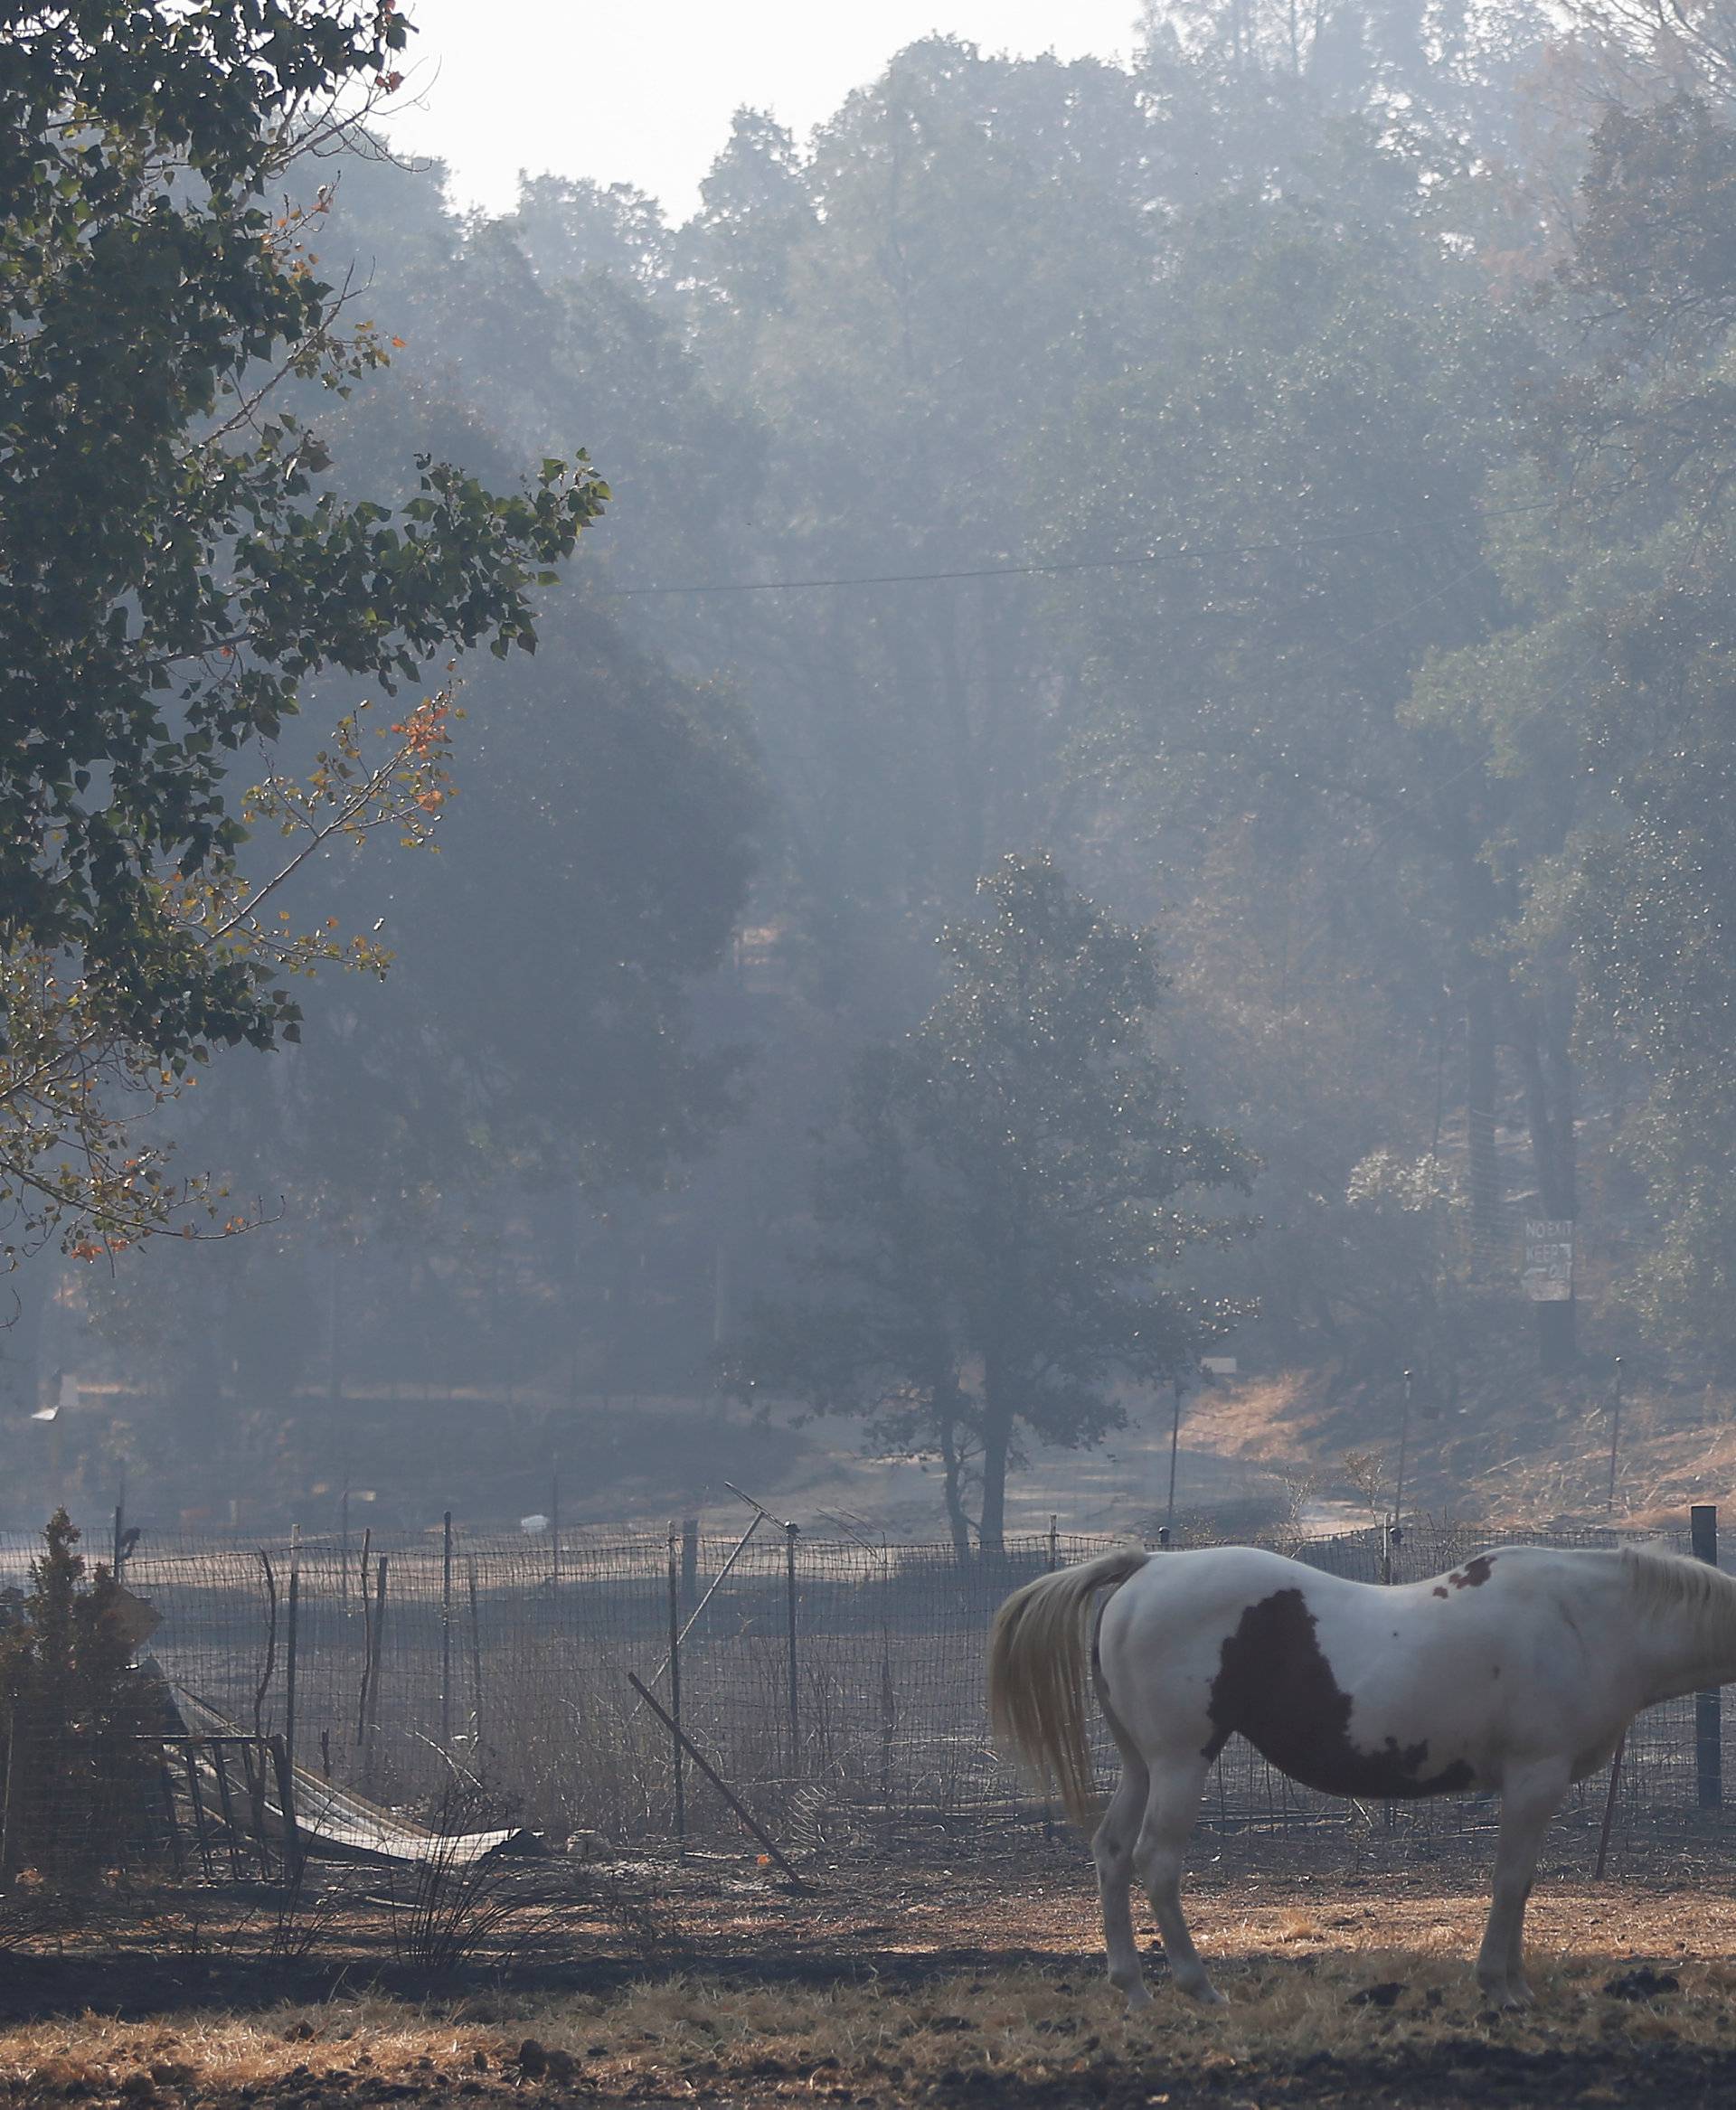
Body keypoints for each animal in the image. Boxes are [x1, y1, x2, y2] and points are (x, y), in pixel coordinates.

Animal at [991, 1552, 1736, 2008]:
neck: (1588, 1616)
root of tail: (1147, 1566)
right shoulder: (1535, 1778)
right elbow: (1512, 1882)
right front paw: (1502, 1986)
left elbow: (1519, 1886)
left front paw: (1513, 1981)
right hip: (1180, 1762)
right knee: (1157, 1862)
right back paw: (1198, 1985)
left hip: (1142, 1764)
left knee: (1113, 1854)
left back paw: (1135, 1988)